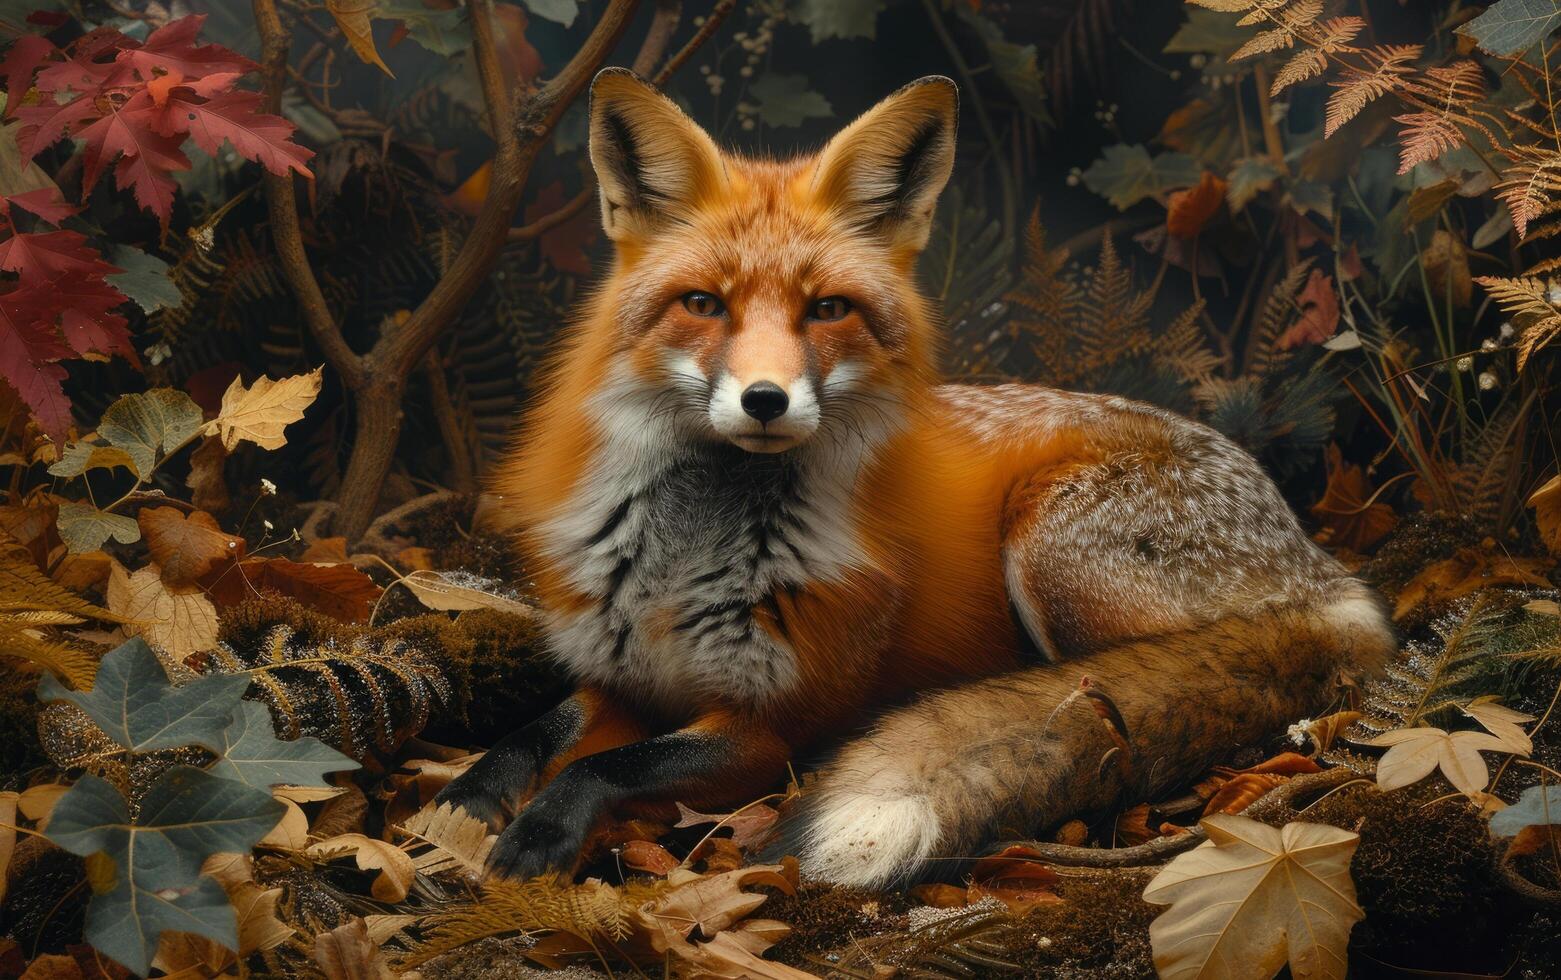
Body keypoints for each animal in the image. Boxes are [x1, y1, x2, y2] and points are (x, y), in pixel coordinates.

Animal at [433, 69, 1398, 886]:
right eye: (703, 304)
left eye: (826, 309)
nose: (764, 400)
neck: (684, 558)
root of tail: (1326, 574)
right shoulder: (623, 681)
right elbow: (535, 735)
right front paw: (466, 802)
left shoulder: (767, 727)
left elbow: (608, 765)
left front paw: (540, 829)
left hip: (1052, 558)